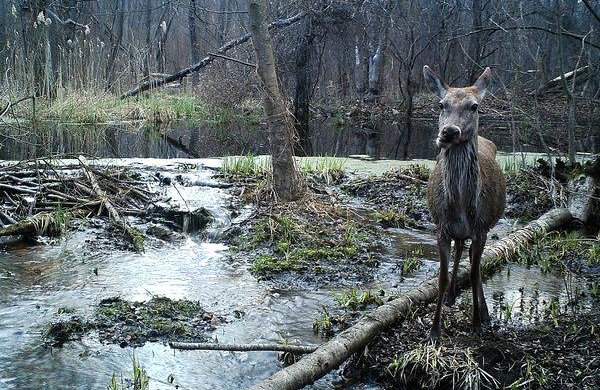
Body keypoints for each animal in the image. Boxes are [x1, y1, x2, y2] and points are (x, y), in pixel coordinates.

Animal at [422, 64, 506, 338]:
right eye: (441, 104)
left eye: (474, 106)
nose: (449, 132)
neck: (461, 208)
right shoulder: (441, 228)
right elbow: (442, 278)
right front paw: (434, 330)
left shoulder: (481, 229)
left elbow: (473, 273)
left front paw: (476, 324)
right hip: (458, 233)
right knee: (461, 249)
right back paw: (450, 298)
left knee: (473, 264)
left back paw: (486, 315)